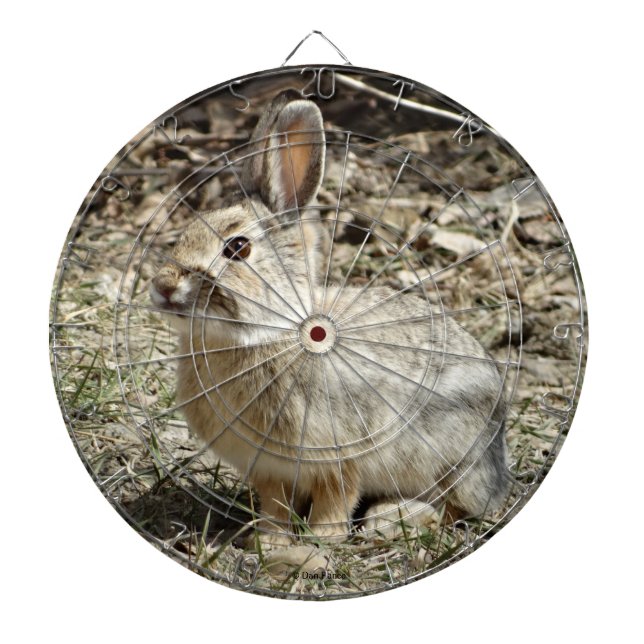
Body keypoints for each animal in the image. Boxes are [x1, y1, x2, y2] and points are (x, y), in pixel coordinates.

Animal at [150, 90, 510, 547]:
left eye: (237, 249)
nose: (162, 285)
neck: (268, 336)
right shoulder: (270, 470)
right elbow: (276, 505)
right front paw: (267, 540)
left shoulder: (341, 456)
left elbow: (337, 499)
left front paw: (323, 539)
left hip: (452, 458)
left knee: (455, 508)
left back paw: (394, 517)